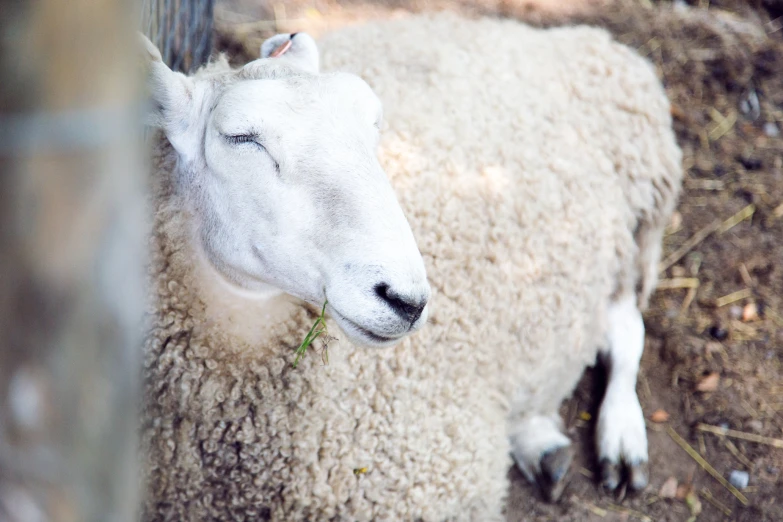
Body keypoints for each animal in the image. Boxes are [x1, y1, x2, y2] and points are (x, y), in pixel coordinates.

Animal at [144, 12, 684, 520]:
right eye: (241, 138)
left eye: (373, 122)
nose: (405, 300)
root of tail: (584, 38)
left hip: (640, 223)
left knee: (626, 328)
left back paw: (619, 439)